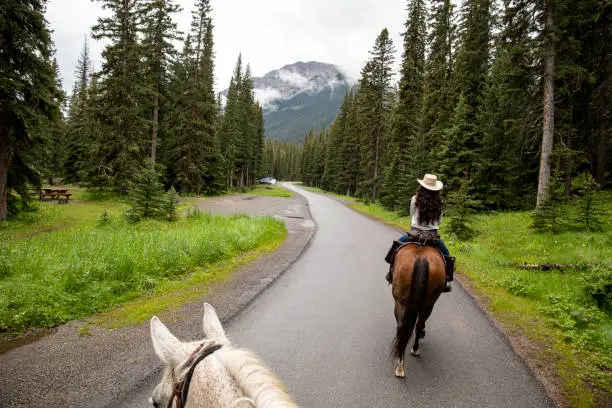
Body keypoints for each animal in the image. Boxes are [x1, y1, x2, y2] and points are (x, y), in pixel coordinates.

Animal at [392, 244, 444, 378]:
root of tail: (421, 259)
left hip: (400, 301)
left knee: (402, 326)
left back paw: (401, 362)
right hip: (429, 302)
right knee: (419, 323)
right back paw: (413, 350)